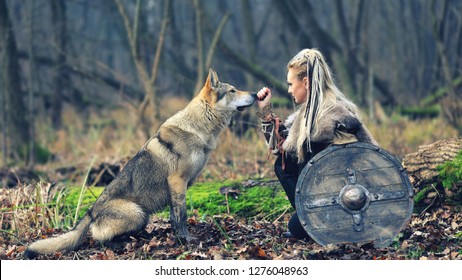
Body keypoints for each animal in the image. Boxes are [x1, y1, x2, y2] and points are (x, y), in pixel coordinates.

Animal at [25, 69, 256, 258]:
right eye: (233, 90)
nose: (255, 94)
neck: (198, 128)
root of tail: (90, 211)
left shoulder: (177, 187)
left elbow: (174, 217)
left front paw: (178, 237)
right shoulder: (177, 181)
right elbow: (181, 216)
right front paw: (186, 240)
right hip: (138, 213)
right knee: (99, 238)